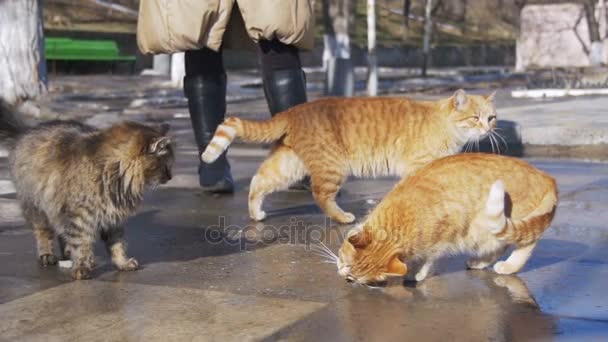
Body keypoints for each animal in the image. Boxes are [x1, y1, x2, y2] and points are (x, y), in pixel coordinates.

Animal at [202, 89, 496, 223]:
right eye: (475, 118)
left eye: (491, 117)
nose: (488, 128)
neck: (444, 125)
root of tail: (294, 110)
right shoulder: (418, 166)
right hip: (332, 167)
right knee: (321, 195)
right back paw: (343, 217)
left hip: (288, 165)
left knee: (258, 182)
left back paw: (256, 214)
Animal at [334, 154, 560, 284]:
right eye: (345, 264)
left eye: (352, 275)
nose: (343, 276)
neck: (401, 219)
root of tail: (548, 178)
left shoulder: (440, 238)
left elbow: (428, 258)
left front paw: (417, 273)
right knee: (500, 246)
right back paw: (479, 263)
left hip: (484, 226)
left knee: (526, 243)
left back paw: (510, 266)